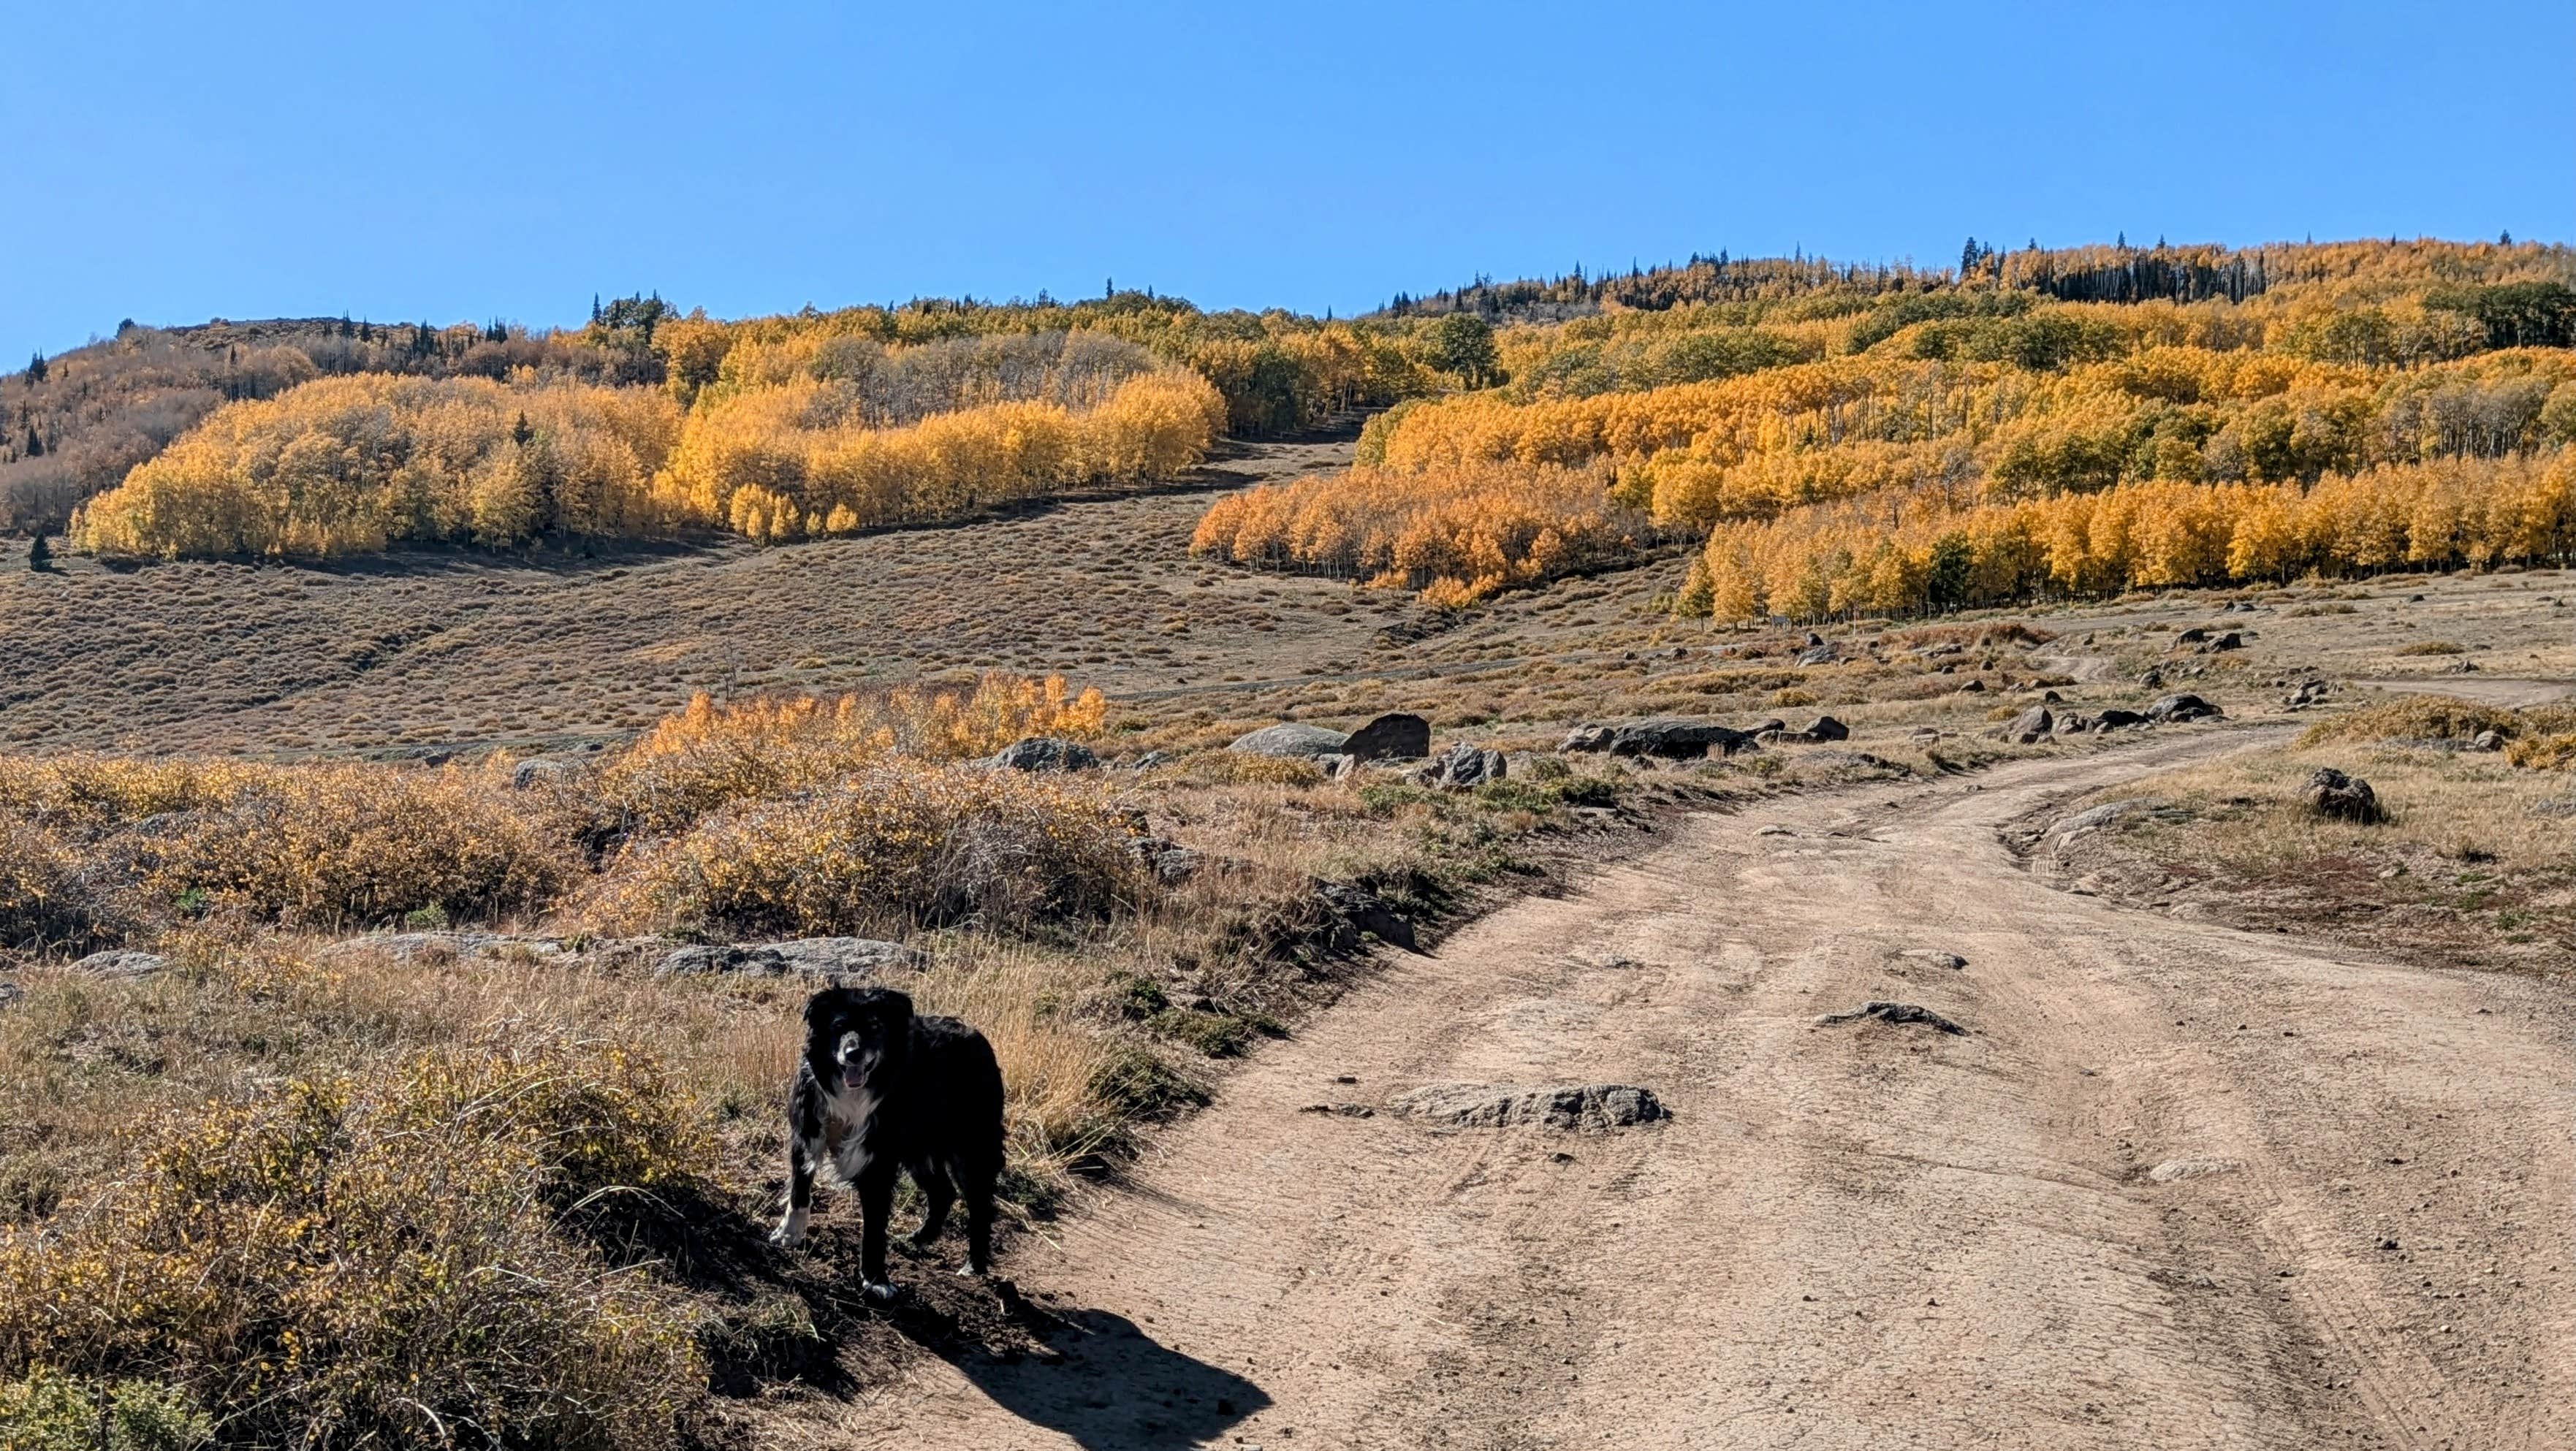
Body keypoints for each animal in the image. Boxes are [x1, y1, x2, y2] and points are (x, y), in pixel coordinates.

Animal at [767, 989, 999, 1293]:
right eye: (838, 1026)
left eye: (875, 1026)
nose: (853, 1054)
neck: (850, 1097)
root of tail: (975, 1034)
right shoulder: (806, 1134)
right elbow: (799, 1192)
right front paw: (789, 1235)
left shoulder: (878, 1158)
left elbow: (875, 1224)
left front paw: (876, 1280)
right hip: (919, 1149)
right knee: (943, 1192)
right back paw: (918, 1238)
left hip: (971, 1147)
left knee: (979, 1204)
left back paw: (973, 1265)